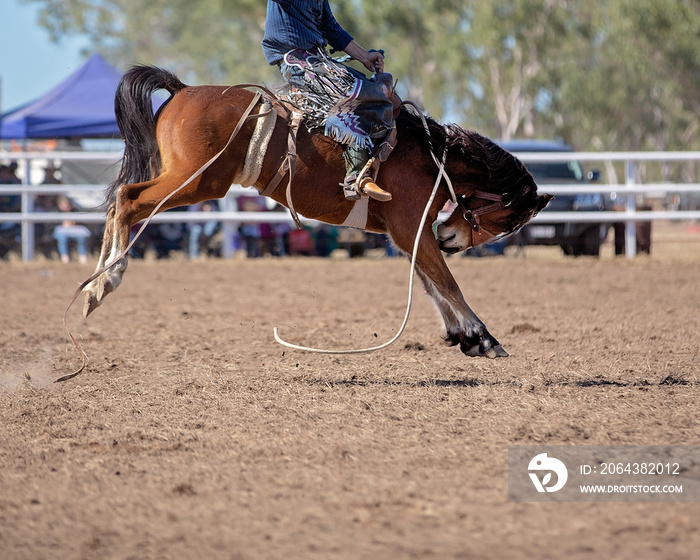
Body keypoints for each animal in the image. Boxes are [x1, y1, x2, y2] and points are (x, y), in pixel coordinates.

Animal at [83, 65, 552, 360]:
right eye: (507, 220)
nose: (451, 239)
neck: (429, 157)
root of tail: (182, 89)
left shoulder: (406, 234)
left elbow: (431, 282)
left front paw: (463, 336)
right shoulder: (411, 227)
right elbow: (447, 282)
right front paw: (483, 337)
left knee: (118, 202)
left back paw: (94, 284)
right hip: (195, 182)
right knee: (127, 200)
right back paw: (105, 281)